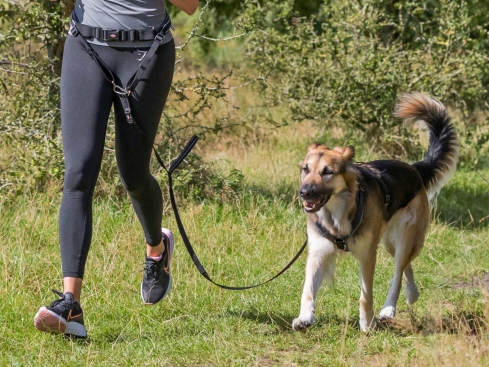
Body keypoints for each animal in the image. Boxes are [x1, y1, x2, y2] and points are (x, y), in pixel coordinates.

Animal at [292, 92, 460, 334]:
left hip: (403, 237)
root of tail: (414, 169)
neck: (338, 213)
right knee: (406, 266)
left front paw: (367, 323)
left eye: (327, 172)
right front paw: (305, 318)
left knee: (398, 273)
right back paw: (412, 293)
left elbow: (366, 295)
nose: (304, 192)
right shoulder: (318, 252)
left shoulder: (368, 255)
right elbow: (307, 290)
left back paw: (388, 310)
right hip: (389, 242)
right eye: (306, 169)